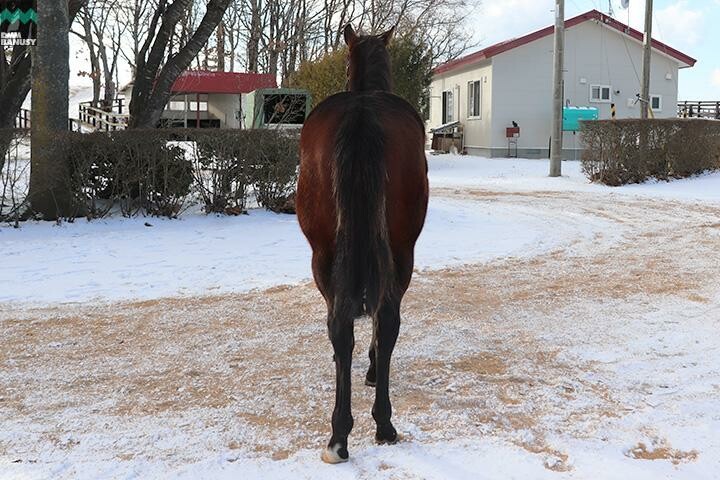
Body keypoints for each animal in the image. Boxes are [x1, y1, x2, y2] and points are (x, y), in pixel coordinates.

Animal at [296, 24, 429, 463]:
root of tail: (362, 113)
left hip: (324, 252)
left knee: (344, 324)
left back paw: (343, 433)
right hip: (400, 251)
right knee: (383, 320)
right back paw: (377, 423)